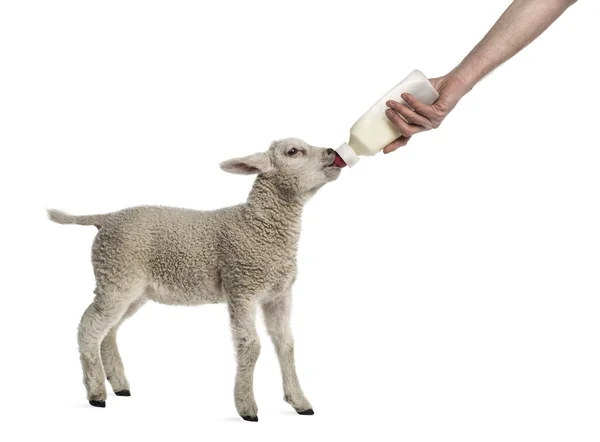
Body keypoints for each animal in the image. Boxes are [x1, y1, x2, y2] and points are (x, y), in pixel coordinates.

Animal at [48, 138, 342, 422]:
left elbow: (286, 344)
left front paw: (300, 402)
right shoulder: (241, 286)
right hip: (116, 277)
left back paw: (119, 384)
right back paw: (96, 393)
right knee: (89, 327)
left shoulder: (278, 294)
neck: (257, 227)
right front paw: (247, 406)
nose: (332, 152)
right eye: (293, 151)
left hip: (132, 288)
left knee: (108, 330)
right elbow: (251, 346)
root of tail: (106, 218)